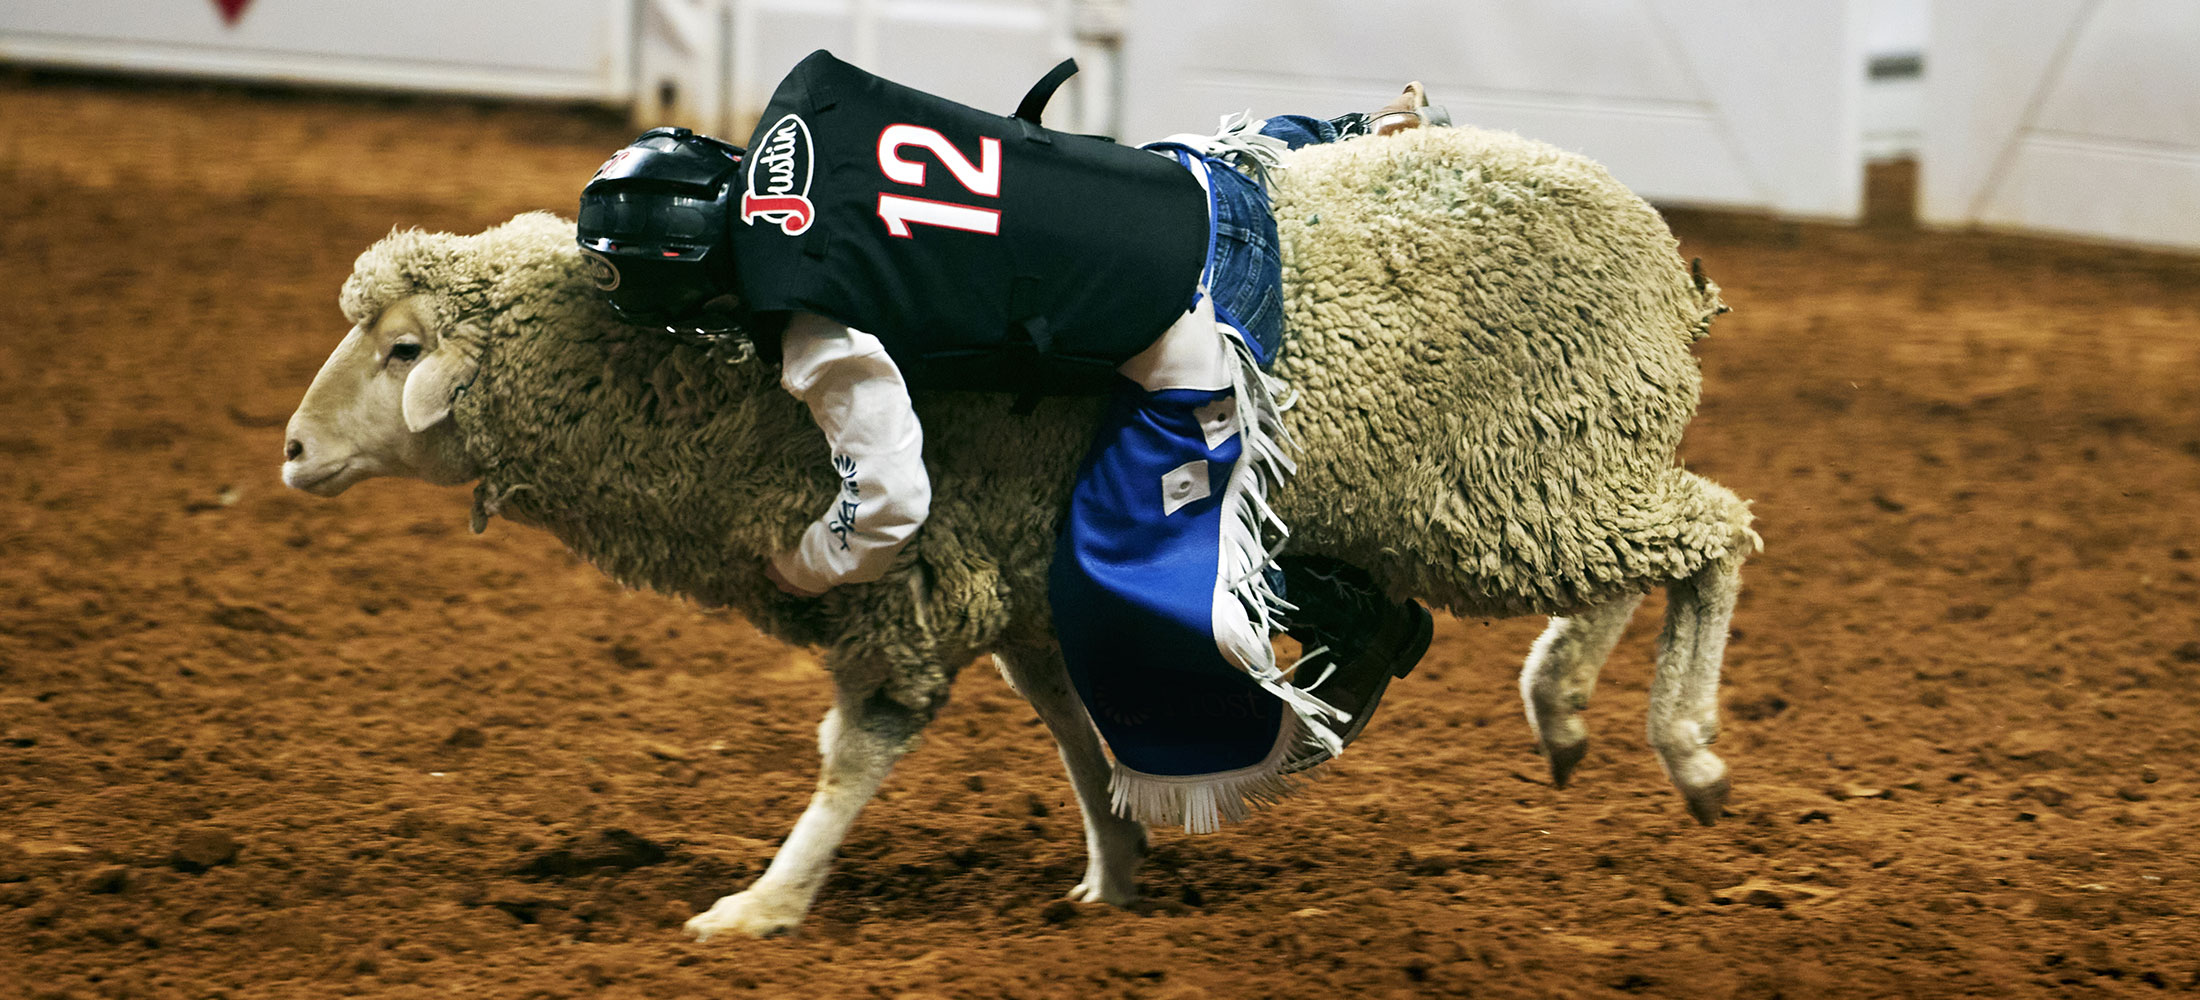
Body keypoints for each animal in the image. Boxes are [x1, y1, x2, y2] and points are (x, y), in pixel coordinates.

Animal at [279, 125, 1751, 940]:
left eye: (401, 348)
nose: (290, 452)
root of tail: (1661, 255)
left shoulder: (913, 579)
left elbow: (856, 754)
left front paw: (761, 907)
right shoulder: (1027, 578)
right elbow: (1078, 739)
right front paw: (1117, 878)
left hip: (1504, 480)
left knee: (1716, 536)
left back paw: (1680, 745)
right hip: (1550, 470)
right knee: (1641, 558)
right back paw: (1564, 702)